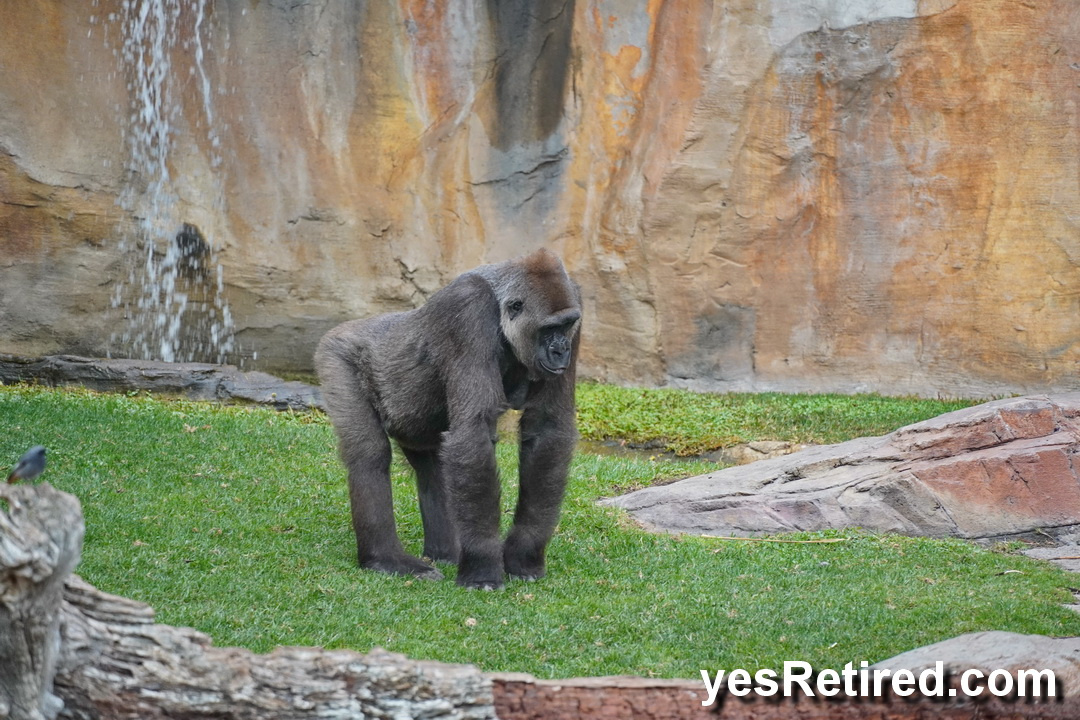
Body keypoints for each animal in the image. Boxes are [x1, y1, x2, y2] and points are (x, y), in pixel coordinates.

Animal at [315, 249, 581, 589]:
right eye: (548, 329)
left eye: (567, 325)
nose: (562, 351)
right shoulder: (468, 308)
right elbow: (474, 431)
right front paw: (483, 568)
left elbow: (546, 430)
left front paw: (523, 555)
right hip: (335, 354)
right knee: (369, 454)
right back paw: (385, 559)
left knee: (433, 466)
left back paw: (445, 553)